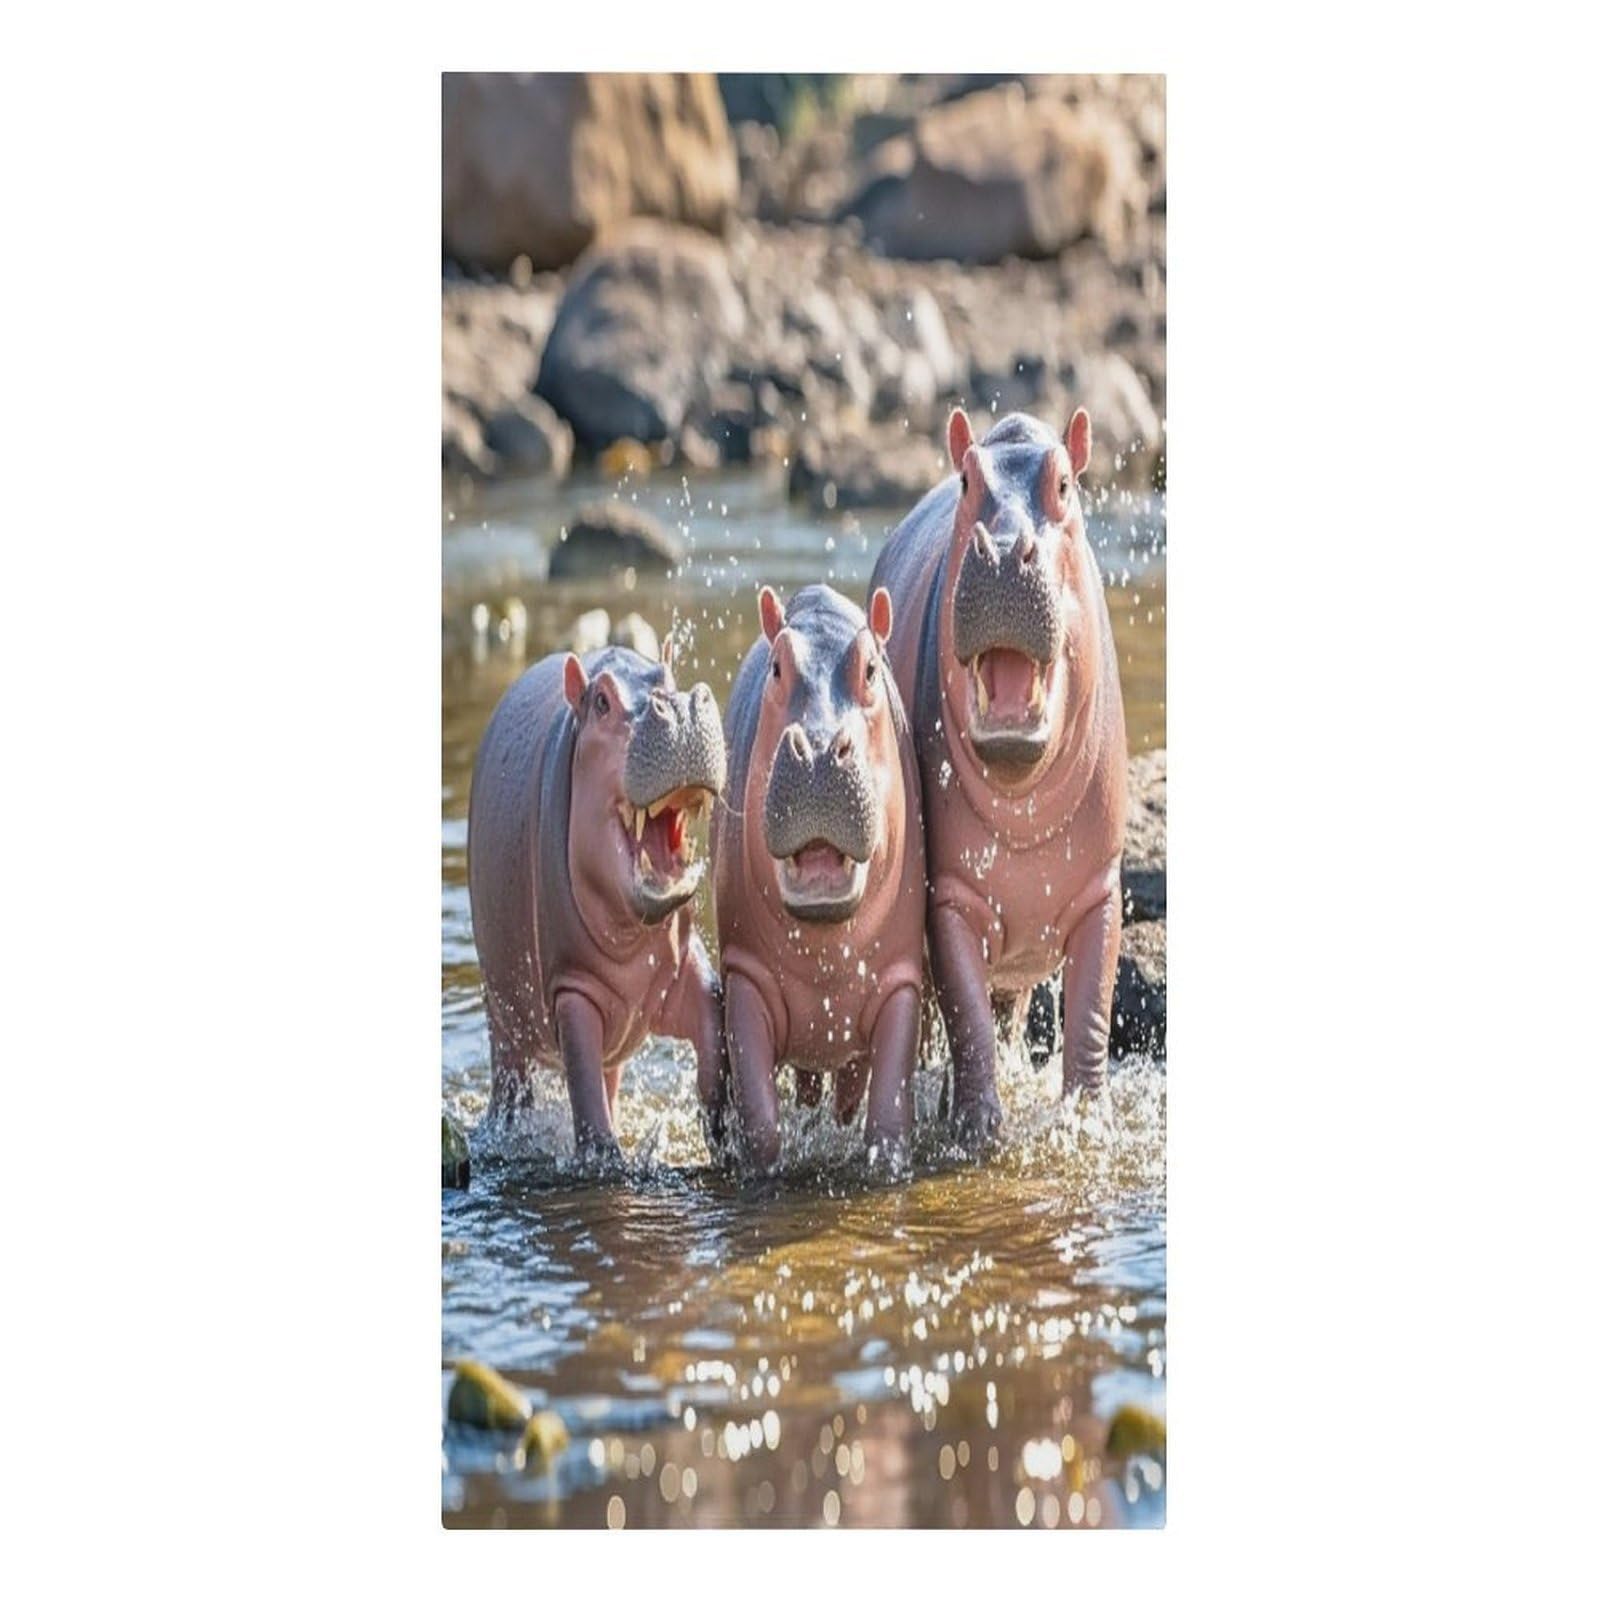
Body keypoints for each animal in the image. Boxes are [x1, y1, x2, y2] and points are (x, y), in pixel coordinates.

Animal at [467, 643, 729, 1165]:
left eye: (669, 676)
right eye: (602, 702)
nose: (681, 707)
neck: (631, 940)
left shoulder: (684, 971)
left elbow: (712, 1029)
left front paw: (724, 1134)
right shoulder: (571, 991)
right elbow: (586, 1098)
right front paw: (605, 1158)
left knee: (609, 1080)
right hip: (503, 1019)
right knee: (513, 1084)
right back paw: (504, 1130)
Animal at [711, 584, 925, 1172]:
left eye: (871, 668)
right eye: (777, 667)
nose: (823, 748)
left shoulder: (901, 979)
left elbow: (888, 1117)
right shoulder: (745, 975)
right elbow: (761, 1122)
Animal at [870, 408, 1127, 1146]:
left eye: (1065, 483)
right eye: (966, 480)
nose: (1007, 550)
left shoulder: (1102, 889)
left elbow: (1092, 1008)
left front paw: (1086, 1121)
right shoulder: (950, 898)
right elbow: (965, 1013)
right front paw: (976, 1129)